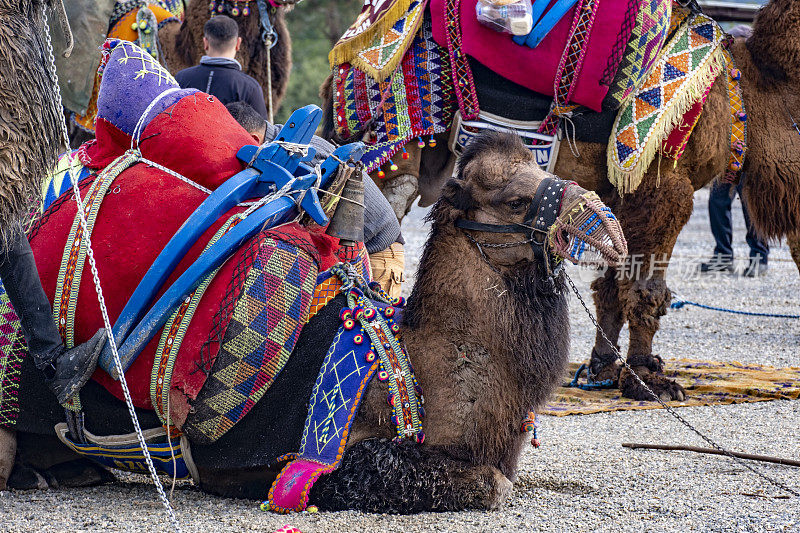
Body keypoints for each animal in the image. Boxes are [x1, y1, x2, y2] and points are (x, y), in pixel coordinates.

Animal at [322, 0, 800, 402]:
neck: (742, 94)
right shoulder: (663, 182)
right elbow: (645, 286)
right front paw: (650, 380)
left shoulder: (619, 191)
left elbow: (612, 282)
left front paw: (605, 368)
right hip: (395, 141)